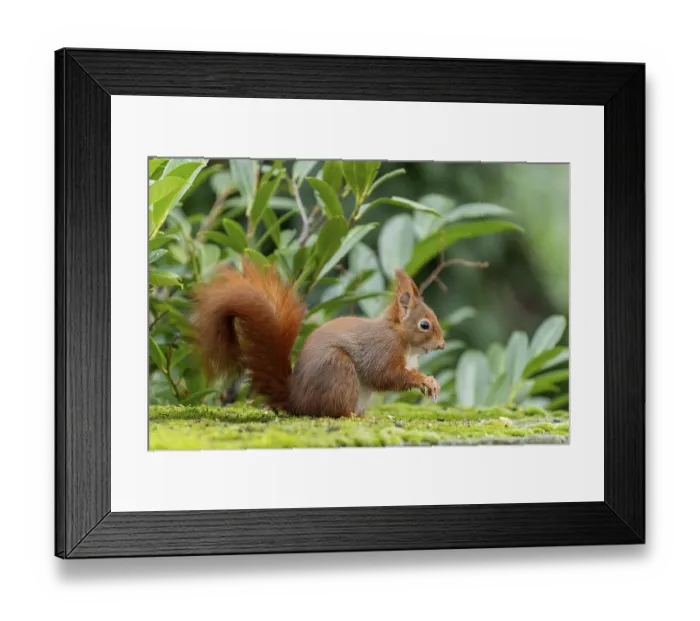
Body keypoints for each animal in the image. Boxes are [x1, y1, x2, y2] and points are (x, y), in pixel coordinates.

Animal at [190, 259, 446, 418]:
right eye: (424, 325)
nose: (442, 345)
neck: (402, 339)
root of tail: (297, 399)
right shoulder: (381, 349)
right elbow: (385, 376)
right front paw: (424, 380)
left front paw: (431, 382)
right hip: (337, 370)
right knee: (335, 412)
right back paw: (357, 417)